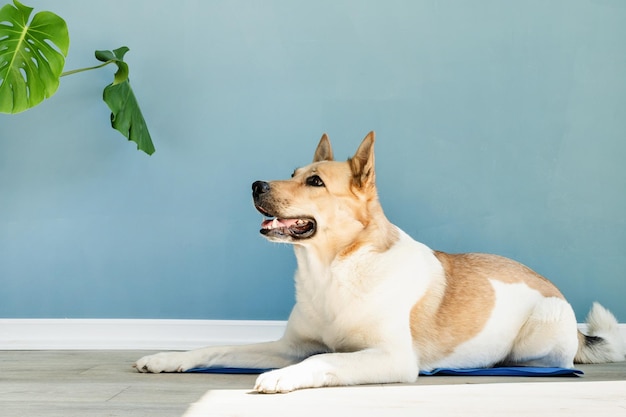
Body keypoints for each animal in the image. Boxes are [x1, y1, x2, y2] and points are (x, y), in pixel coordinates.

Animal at [134, 132, 620, 392]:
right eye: (291, 173)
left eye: (314, 181)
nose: (254, 184)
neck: (330, 271)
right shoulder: (290, 345)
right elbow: (214, 348)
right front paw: (166, 357)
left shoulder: (389, 357)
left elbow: (320, 362)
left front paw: (281, 378)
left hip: (536, 339)